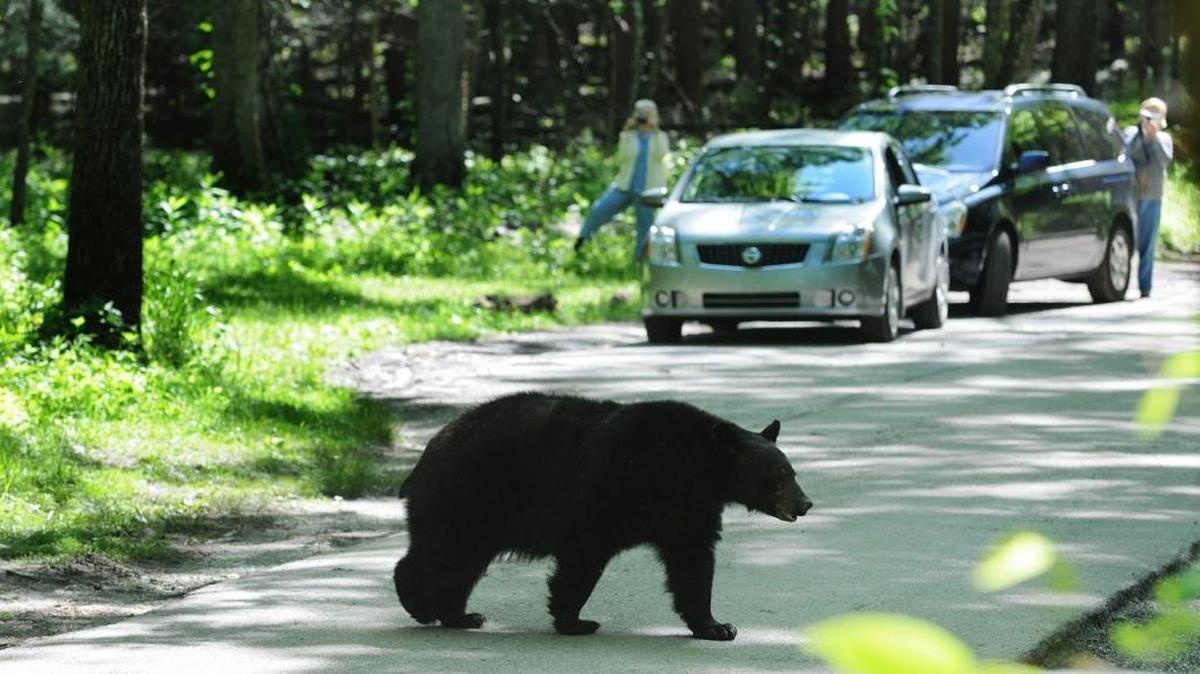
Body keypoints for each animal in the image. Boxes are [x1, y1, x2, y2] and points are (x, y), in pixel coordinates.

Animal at [393, 392, 812, 641]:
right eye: (777, 477)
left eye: (792, 472)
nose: (805, 504)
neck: (693, 465)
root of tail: (427, 453)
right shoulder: (609, 495)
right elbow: (583, 557)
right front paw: (576, 621)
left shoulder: (689, 509)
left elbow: (692, 563)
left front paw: (716, 625)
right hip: (467, 496)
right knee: (441, 554)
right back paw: (419, 604)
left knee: (463, 564)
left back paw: (460, 615)